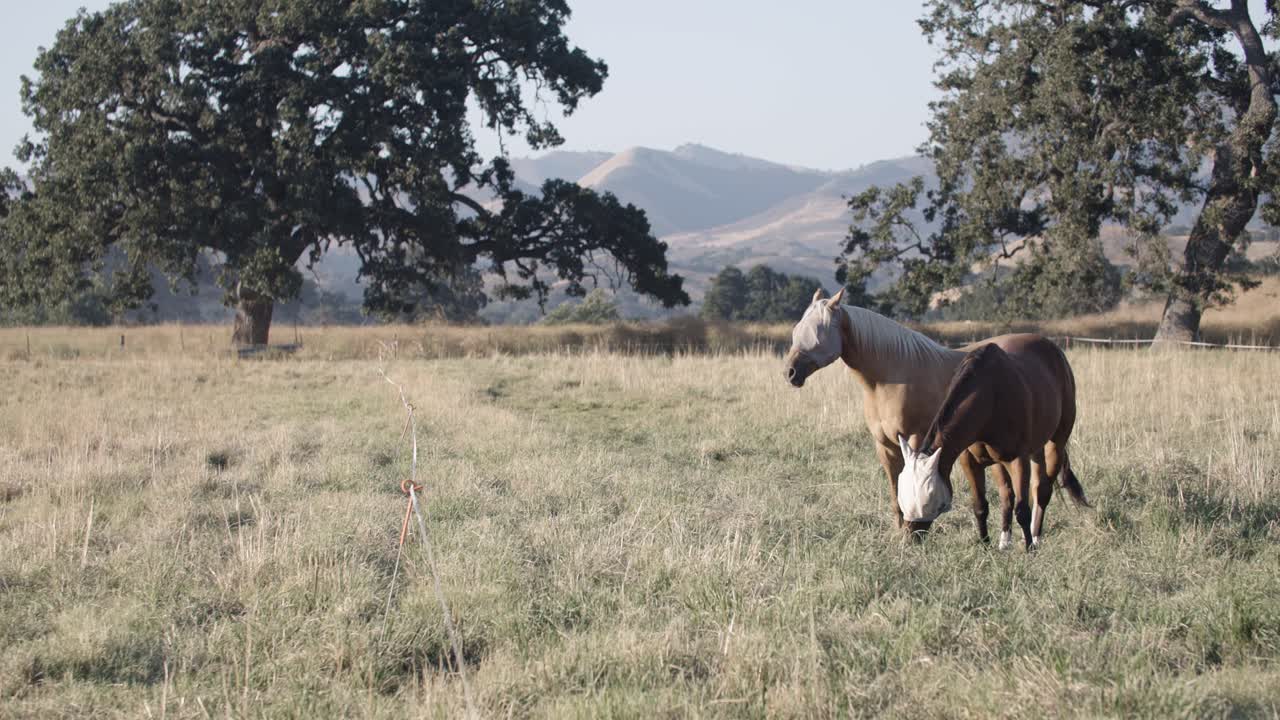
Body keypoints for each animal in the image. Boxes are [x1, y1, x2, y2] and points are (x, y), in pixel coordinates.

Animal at [897, 340, 1089, 549]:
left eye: (931, 500)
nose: (910, 538)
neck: (990, 395)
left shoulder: (1018, 460)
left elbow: (1022, 510)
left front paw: (1029, 549)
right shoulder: (970, 462)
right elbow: (980, 505)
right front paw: (984, 544)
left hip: (1056, 444)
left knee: (1043, 491)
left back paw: (1035, 538)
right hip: (1017, 455)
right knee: (1010, 494)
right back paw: (1006, 541)